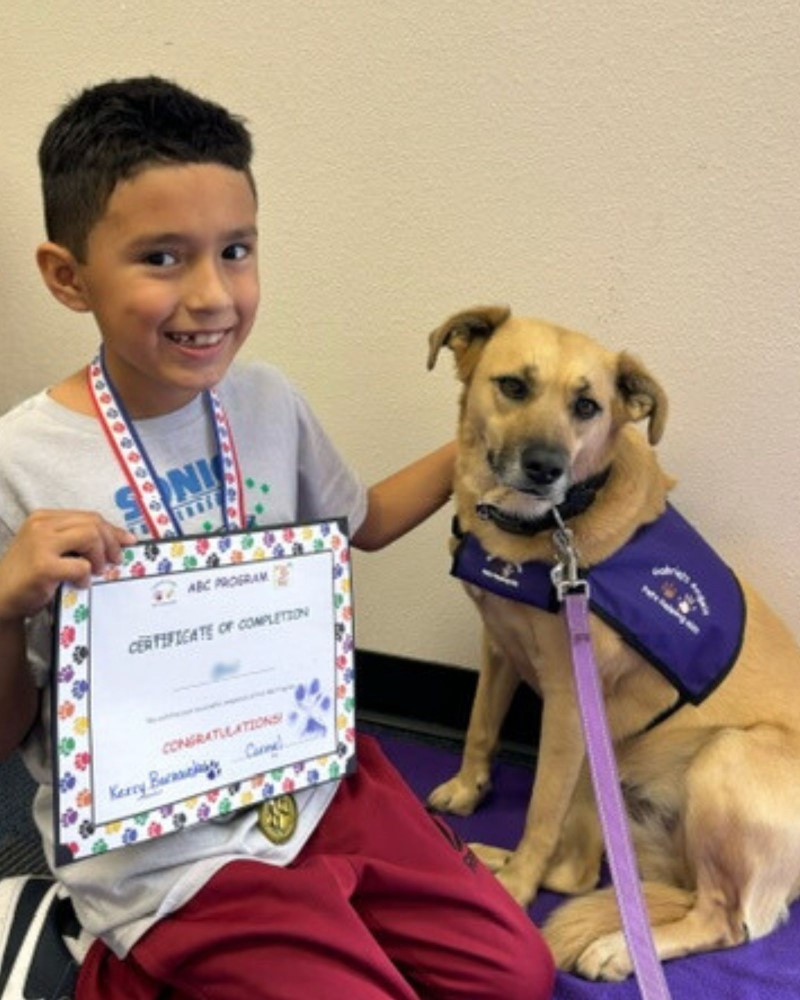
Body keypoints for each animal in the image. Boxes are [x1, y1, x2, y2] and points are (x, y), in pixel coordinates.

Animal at [428, 304, 800, 976]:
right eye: (513, 386)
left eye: (587, 406)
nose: (546, 467)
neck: (551, 527)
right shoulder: (497, 647)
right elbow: (480, 728)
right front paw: (469, 791)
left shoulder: (569, 704)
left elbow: (539, 810)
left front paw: (516, 888)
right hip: (609, 784)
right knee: (582, 874)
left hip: (721, 758)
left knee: (721, 919)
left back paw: (614, 947)